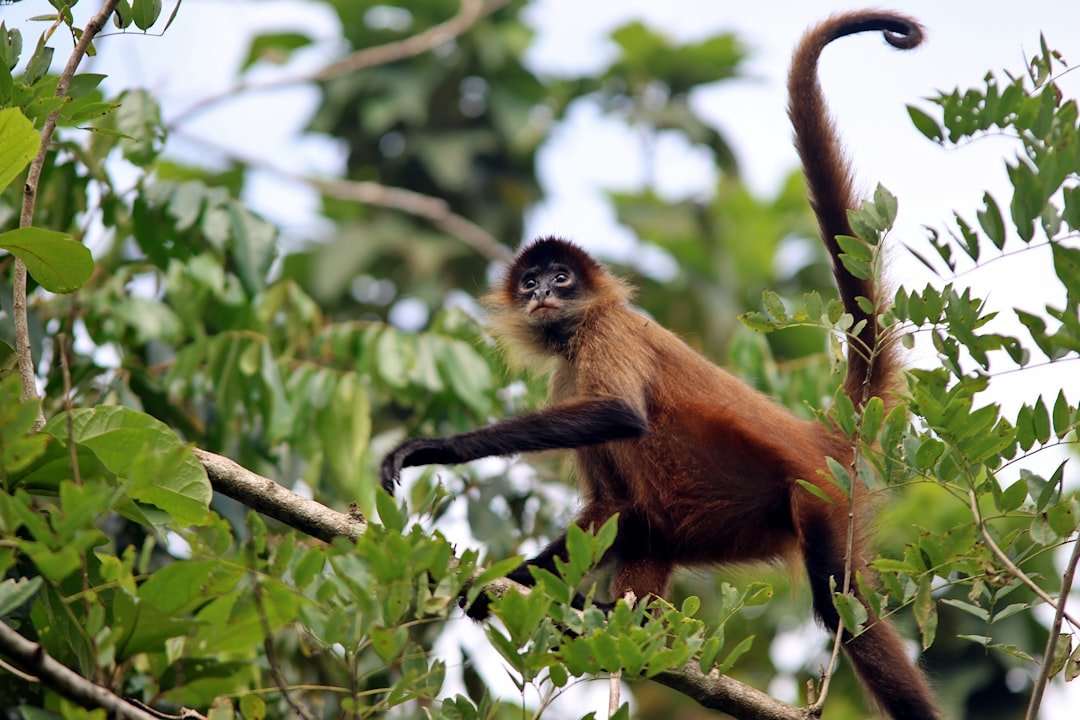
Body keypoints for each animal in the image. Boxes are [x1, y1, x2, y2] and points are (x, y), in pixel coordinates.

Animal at [380, 10, 937, 720]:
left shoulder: (604, 333)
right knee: (642, 519)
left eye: (561, 279)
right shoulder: (567, 370)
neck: (577, 329)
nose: (540, 294)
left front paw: (433, 449)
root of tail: (820, 436)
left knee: (842, 608)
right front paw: (486, 586)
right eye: (530, 280)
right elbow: (609, 507)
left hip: (816, 497)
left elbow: (619, 414)